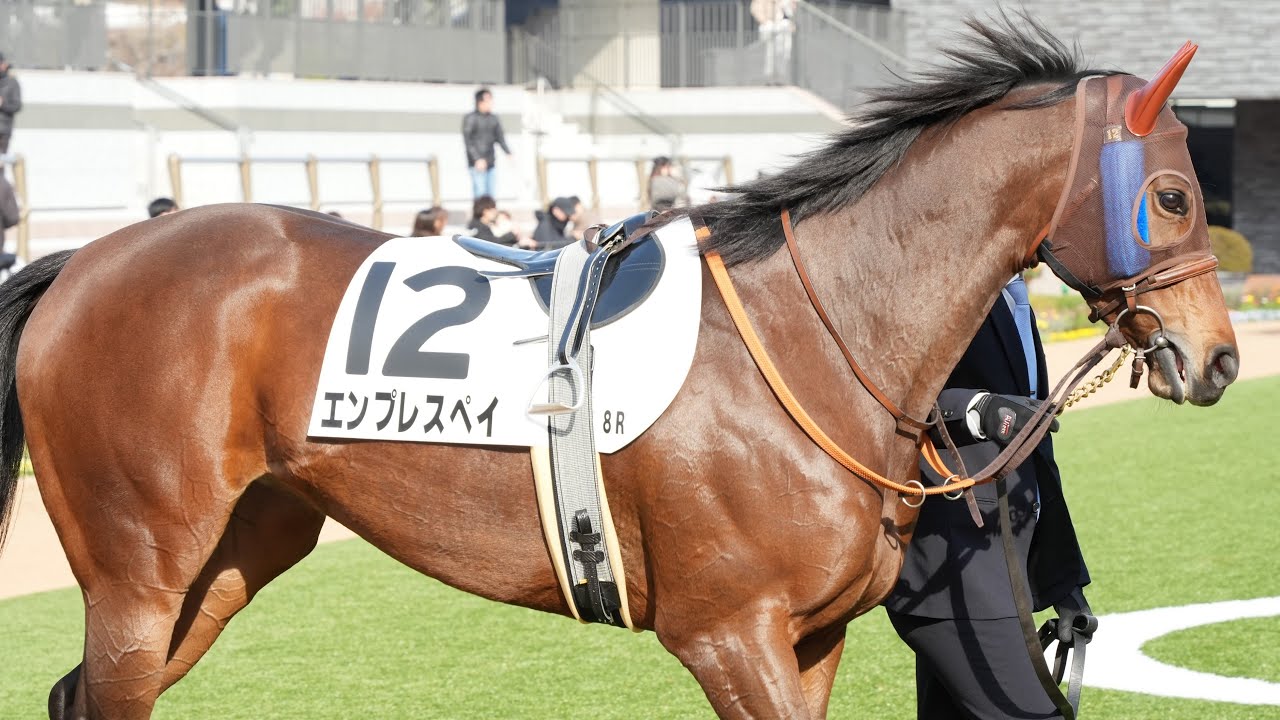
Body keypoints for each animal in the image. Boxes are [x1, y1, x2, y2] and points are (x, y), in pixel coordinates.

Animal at [0, 17, 1239, 719]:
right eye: (1172, 194)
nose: (1218, 358)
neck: (811, 332)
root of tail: (83, 263)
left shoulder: (813, 637)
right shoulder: (727, 635)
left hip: (232, 556)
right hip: (138, 572)